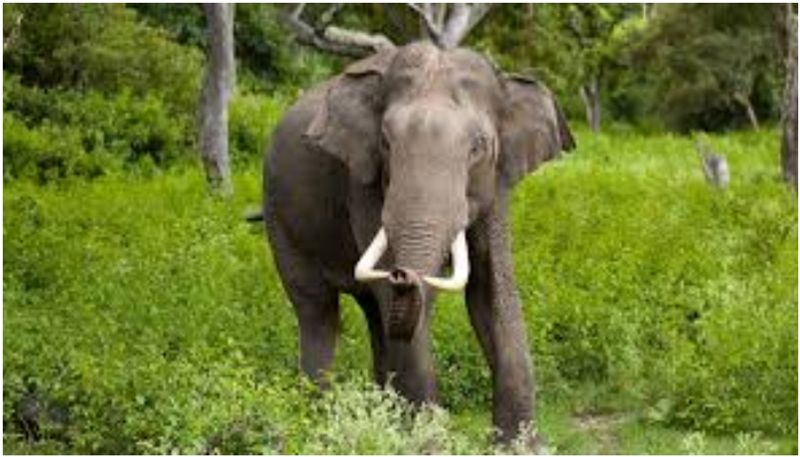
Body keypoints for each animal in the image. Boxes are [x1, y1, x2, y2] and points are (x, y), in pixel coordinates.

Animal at [262, 42, 574, 444]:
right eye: (385, 143)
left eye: (478, 147)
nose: (403, 274)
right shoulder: (362, 181)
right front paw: (427, 442)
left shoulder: (497, 183)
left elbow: (493, 291)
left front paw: (520, 446)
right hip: (279, 215)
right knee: (318, 309)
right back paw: (317, 421)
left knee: (374, 314)